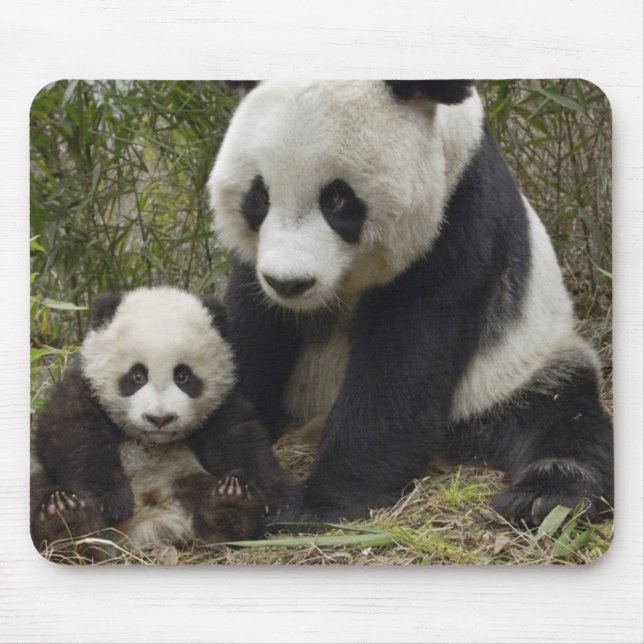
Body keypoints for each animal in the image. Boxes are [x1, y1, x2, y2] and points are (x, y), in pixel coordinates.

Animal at [31, 286, 300, 558]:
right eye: (137, 376)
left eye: (183, 376)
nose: (159, 418)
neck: (151, 441)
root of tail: (148, 525)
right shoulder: (84, 385)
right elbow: (71, 434)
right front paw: (111, 500)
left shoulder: (220, 405)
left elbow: (241, 442)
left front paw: (282, 499)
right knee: (39, 488)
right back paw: (66, 522)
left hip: (184, 478)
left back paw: (231, 506)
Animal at [207, 80, 613, 527]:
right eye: (259, 196)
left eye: (337, 200)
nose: (289, 283)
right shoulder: (256, 269)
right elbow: (251, 331)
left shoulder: (459, 217)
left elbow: (404, 359)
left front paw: (320, 505)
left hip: (516, 370)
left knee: (562, 415)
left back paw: (544, 497)